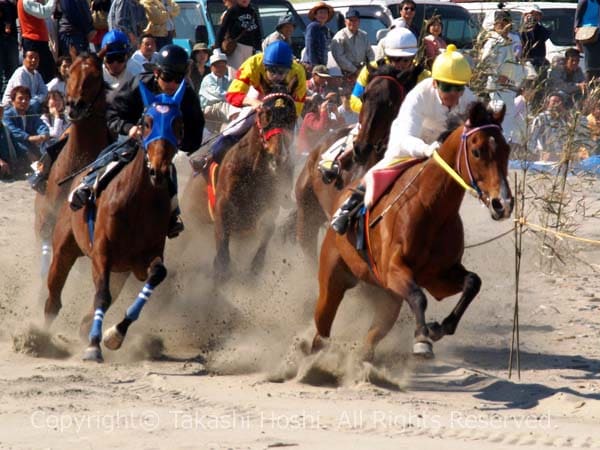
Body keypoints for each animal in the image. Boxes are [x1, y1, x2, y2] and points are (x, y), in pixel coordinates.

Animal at [42, 81, 185, 362]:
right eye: (148, 121)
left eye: (177, 123)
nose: (159, 171)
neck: (138, 201)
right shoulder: (102, 252)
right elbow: (102, 296)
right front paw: (93, 346)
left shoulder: (143, 260)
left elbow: (156, 274)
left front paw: (114, 334)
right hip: (64, 246)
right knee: (53, 296)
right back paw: (36, 337)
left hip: (121, 271)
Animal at [180, 87, 298, 280]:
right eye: (264, 114)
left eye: (292, 117)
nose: (278, 156)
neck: (254, 172)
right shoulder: (222, 207)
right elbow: (222, 252)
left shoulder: (269, 206)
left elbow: (269, 228)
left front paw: (256, 266)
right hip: (191, 222)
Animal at [312, 100, 512, 360]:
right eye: (477, 152)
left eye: (507, 150)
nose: (503, 204)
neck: (430, 208)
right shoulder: (393, 271)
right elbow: (418, 296)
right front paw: (422, 339)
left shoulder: (437, 276)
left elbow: (472, 282)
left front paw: (438, 328)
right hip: (333, 277)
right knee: (322, 326)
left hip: (387, 298)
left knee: (371, 336)